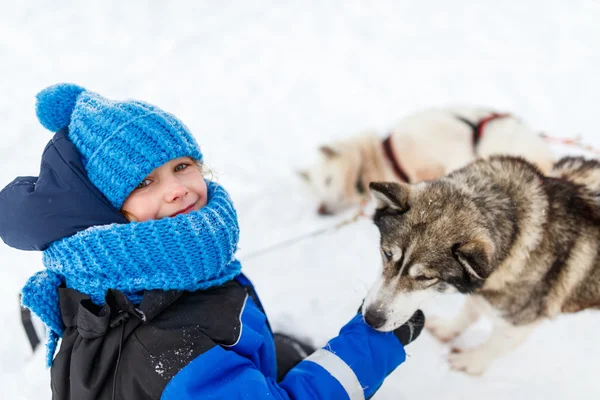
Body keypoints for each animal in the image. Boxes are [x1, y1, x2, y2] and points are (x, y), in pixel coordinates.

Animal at [360, 156, 600, 376]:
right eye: (387, 254)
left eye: (426, 277)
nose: (372, 318)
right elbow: (470, 311)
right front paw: (448, 330)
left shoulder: (519, 323)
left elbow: (495, 346)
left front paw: (470, 362)